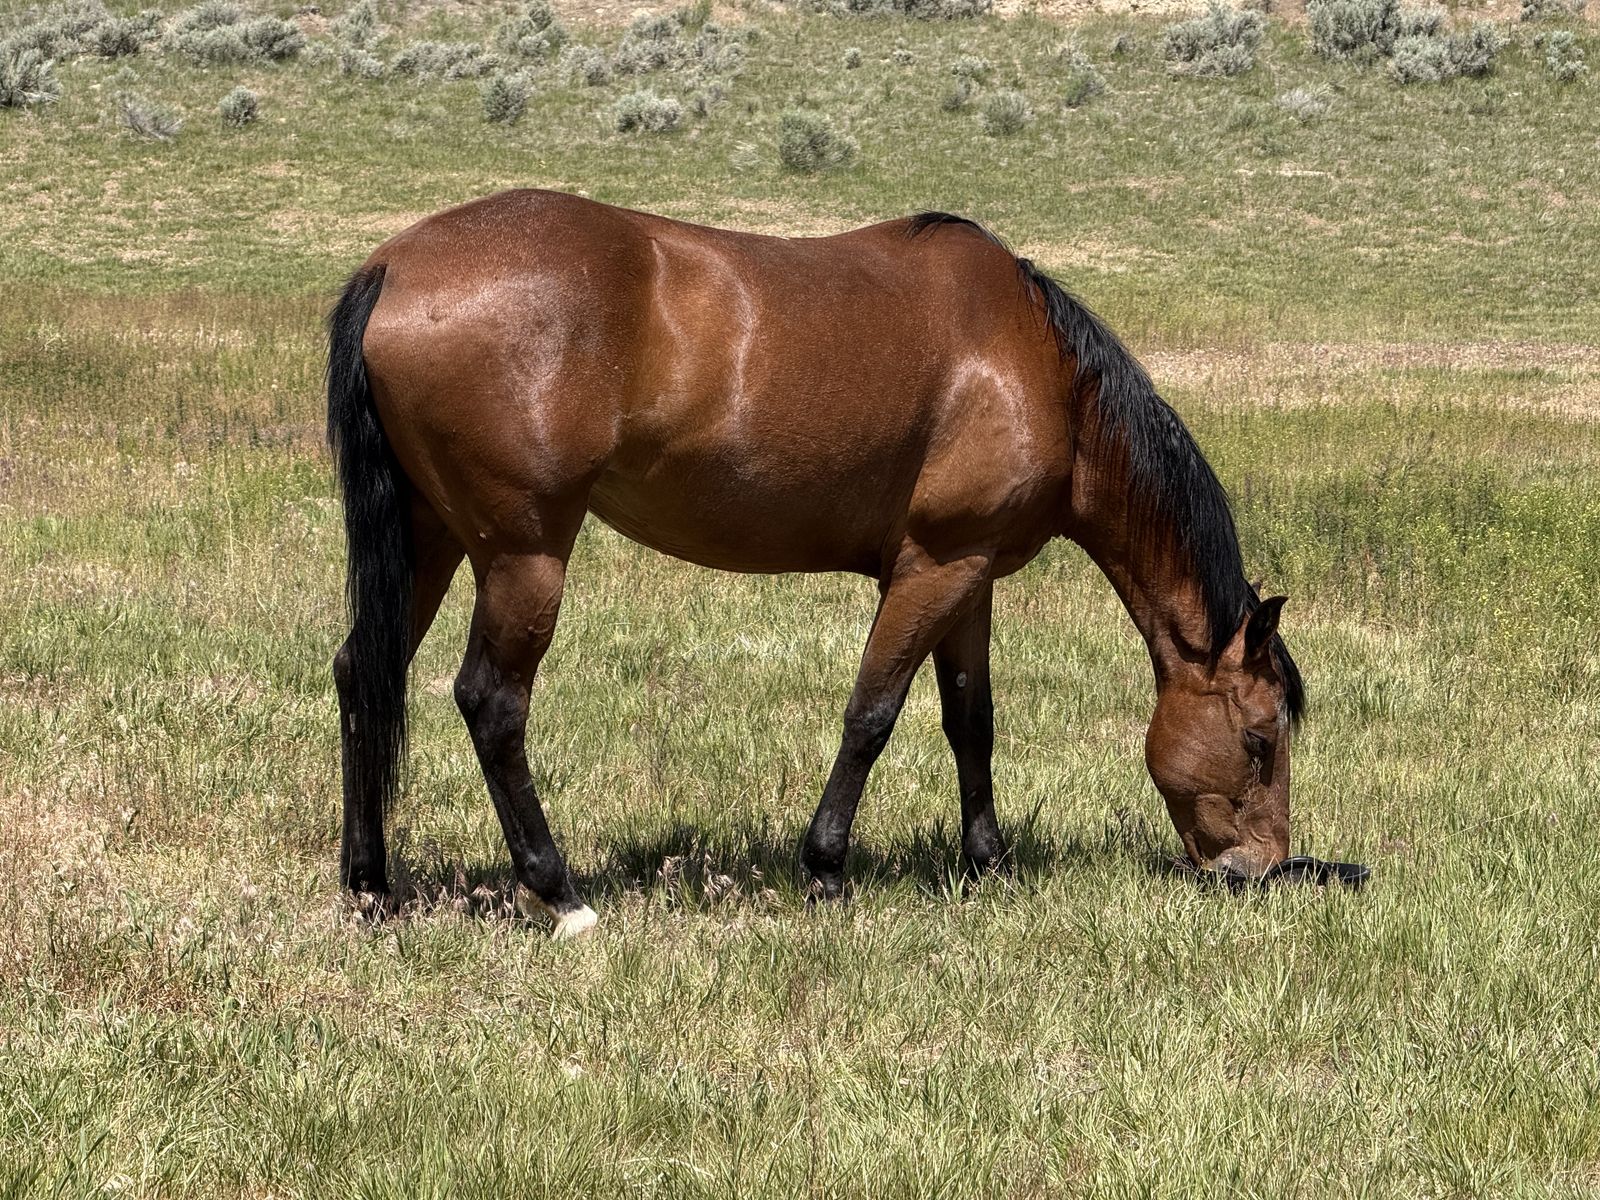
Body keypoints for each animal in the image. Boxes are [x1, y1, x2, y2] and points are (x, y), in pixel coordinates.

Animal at [326, 190, 1306, 938]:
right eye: (1260, 740)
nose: (1260, 870)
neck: (1033, 365)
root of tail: (394, 269)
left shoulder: (972, 577)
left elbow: (971, 722)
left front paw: (988, 865)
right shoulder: (932, 568)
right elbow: (872, 715)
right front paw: (827, 869)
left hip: (432, 539)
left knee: (362, 672)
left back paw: (370, 884)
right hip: (523, 555)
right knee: (491, 703)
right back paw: (560, 893)